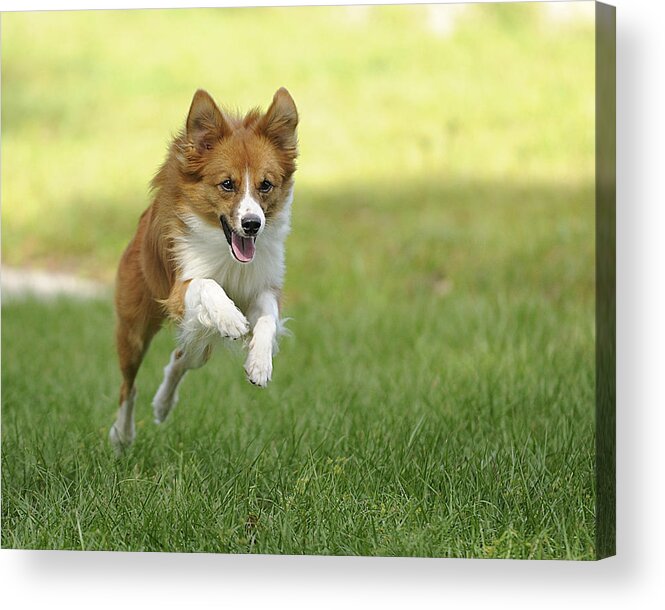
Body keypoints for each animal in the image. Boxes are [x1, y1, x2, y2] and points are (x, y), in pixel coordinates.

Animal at [110, 88, 296, 448]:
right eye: (227, 184)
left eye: (266, 185)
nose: (252, 224)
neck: (227, 252)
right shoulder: (180, 288)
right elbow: (206, 284)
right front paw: (231, 318)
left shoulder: (262, 287)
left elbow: (267, 319)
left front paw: (259, 362)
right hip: (135, 330)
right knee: (129, 386)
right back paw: (122, 435)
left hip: (198, 338)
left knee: (181, 358)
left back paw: (163, 404)